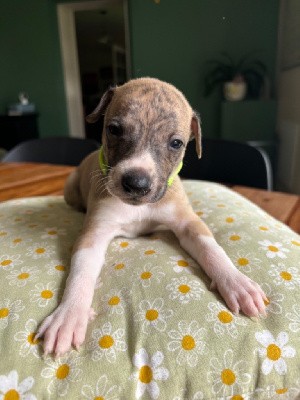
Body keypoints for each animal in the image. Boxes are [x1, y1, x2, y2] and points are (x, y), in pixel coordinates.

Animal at [35, 78, 268, 356]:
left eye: (176, 143)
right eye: (114, 129)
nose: (136, 183)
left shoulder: (188, 222)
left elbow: (211, 248)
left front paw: (237, 282)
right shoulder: (94, 232)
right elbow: (81, 271)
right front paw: (69, 315)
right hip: (71, 188)